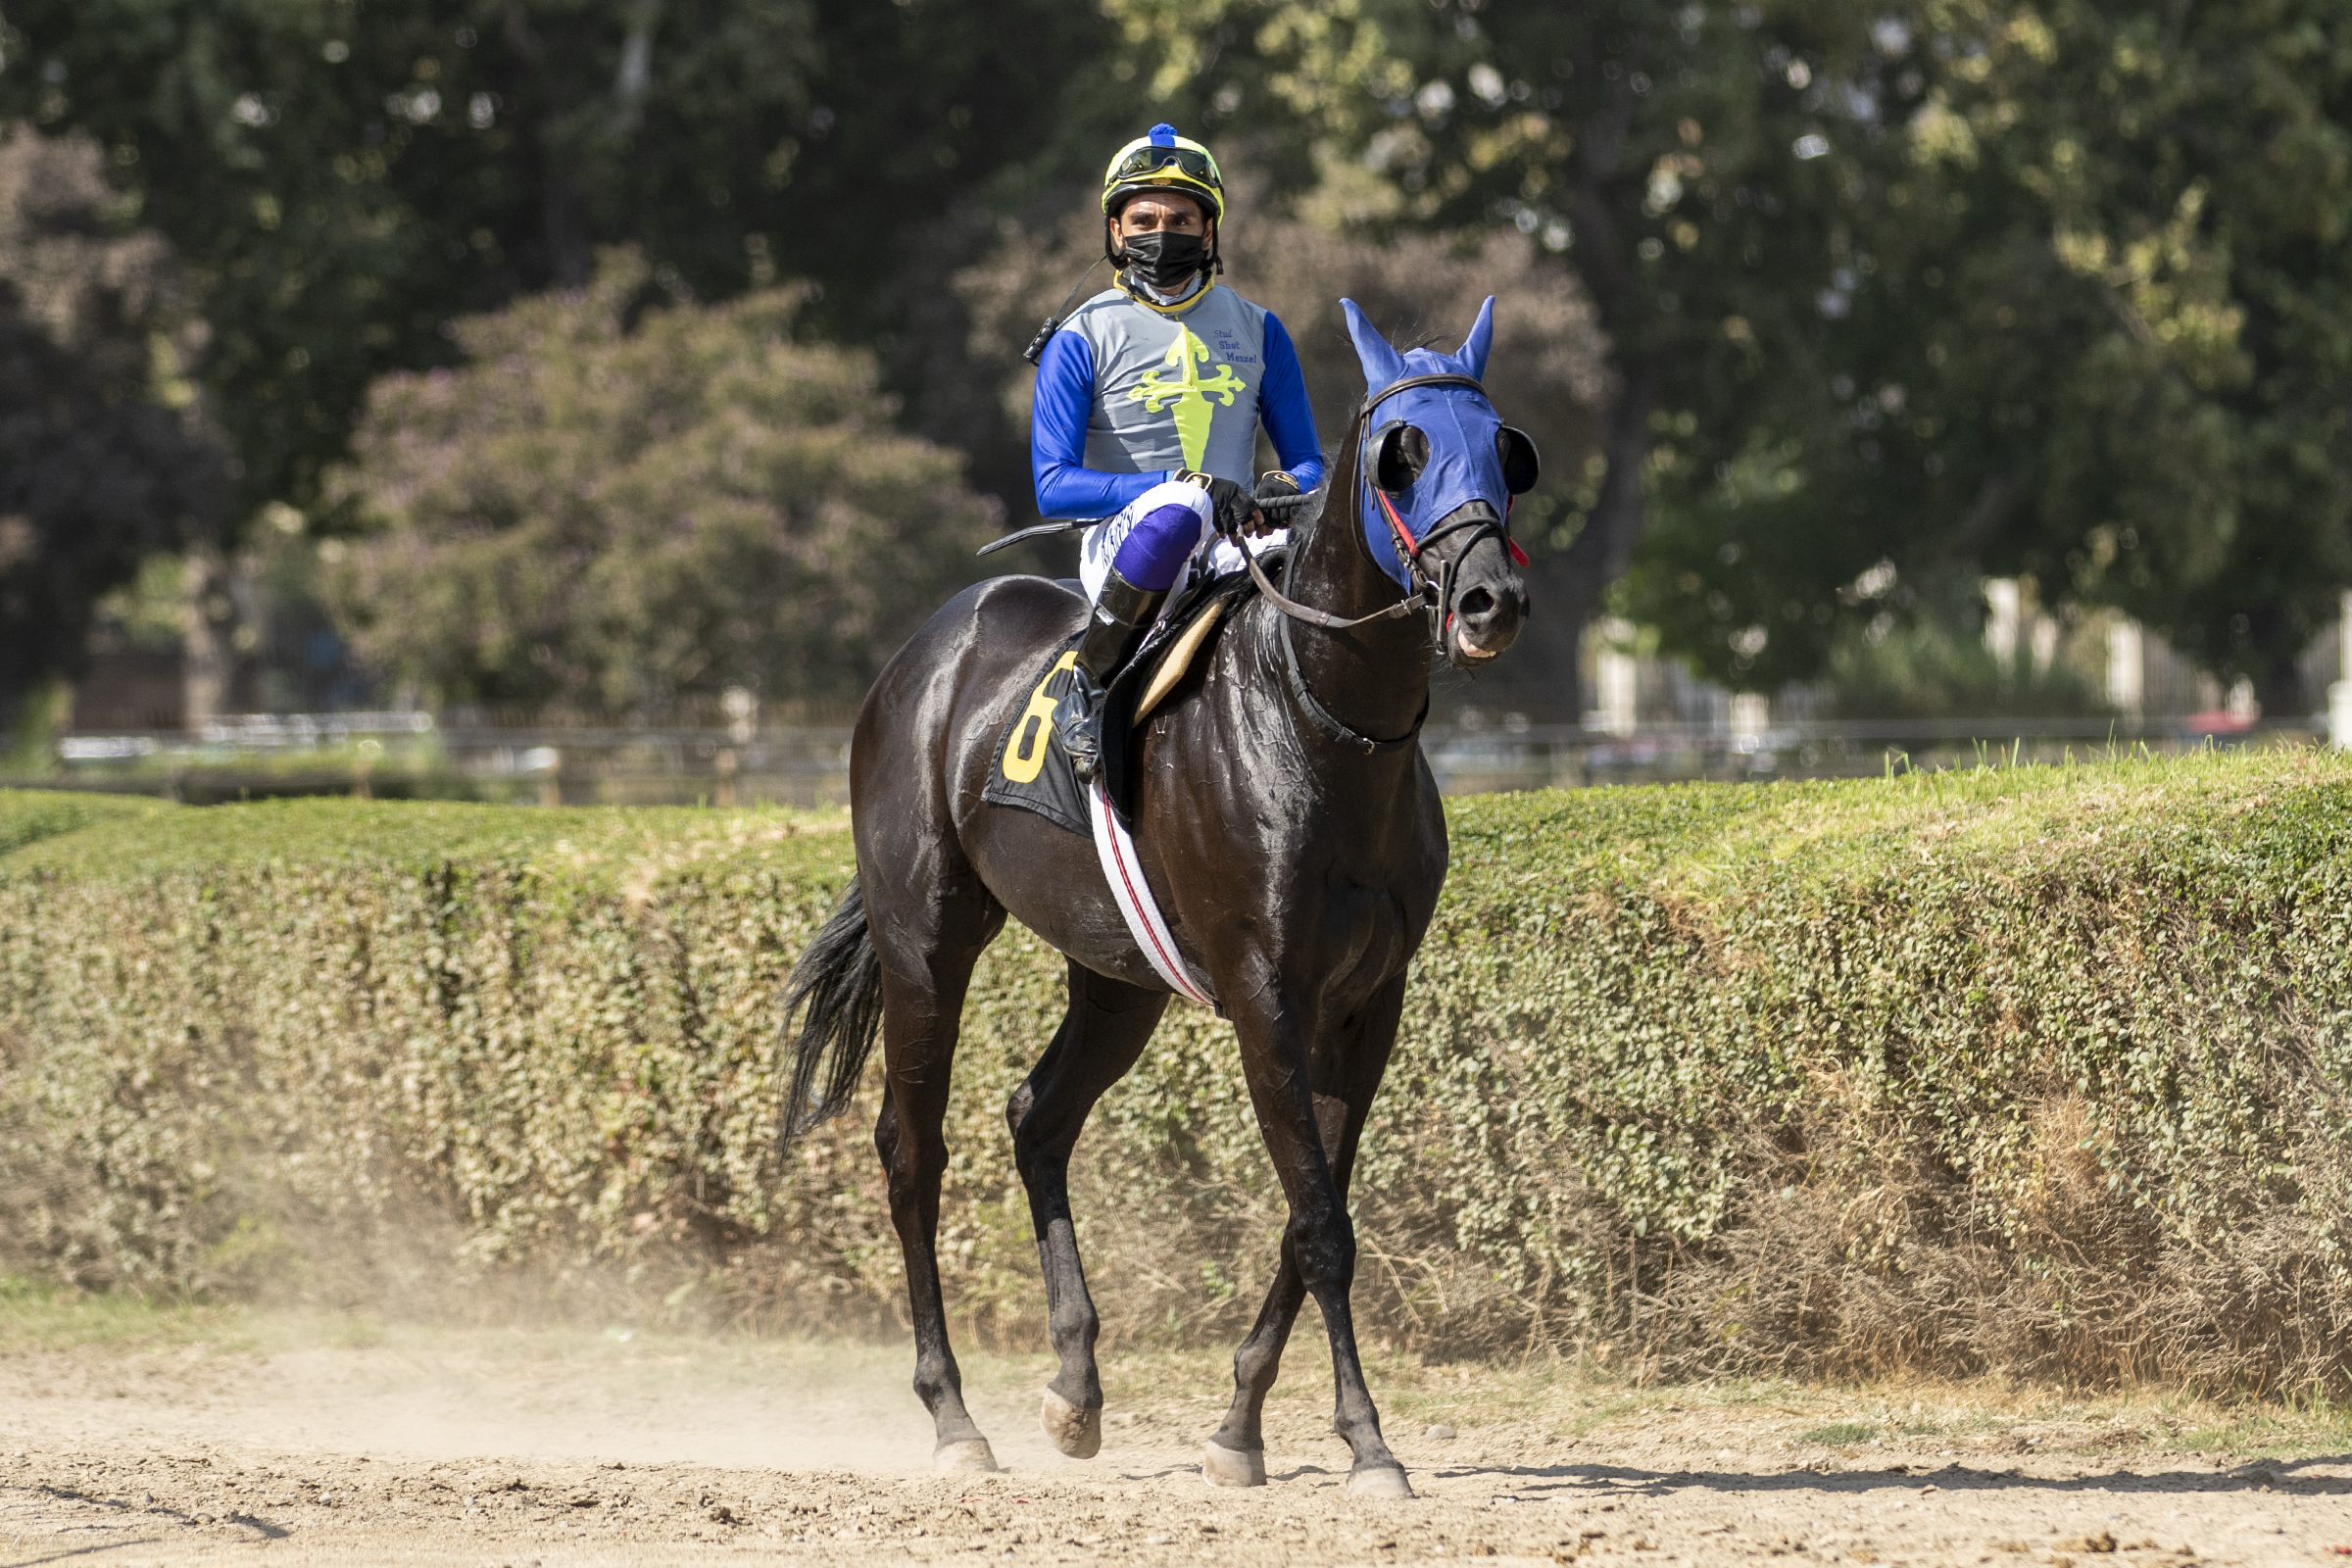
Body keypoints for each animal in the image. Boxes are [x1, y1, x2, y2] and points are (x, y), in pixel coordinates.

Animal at [780, 296, 1534, 1498]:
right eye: (1401, 455)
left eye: (1508, 450)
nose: (1487, 598)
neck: (1320, 726)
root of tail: (932, 645)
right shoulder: (1265, 993)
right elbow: (1322, 1223)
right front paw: (1367, 1441)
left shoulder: (1370, 1002)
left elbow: (1309, 1212)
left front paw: (1239, 1426)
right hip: (925, 938)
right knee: (912, 1146)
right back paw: (954, 1418)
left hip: (1116, 978)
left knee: (1036, 1116)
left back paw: (1075, 1388)